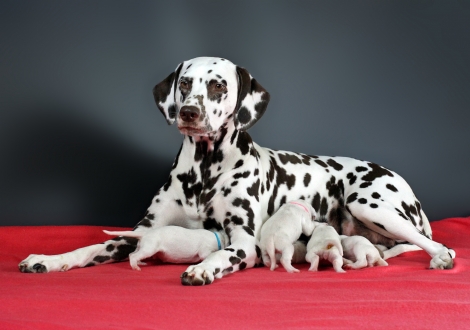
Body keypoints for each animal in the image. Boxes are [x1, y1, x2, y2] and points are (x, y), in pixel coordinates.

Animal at [19, 56, 456, 284]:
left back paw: (441, 258)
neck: (204, 171)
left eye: (217, 86)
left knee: (434, 244)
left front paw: (204, 267)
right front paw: (51, 259)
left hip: (372, 204)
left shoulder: (245, 241)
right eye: (185, 84)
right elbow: (90, 247)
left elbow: (227, 251)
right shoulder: (142, 231)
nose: (189, 113)